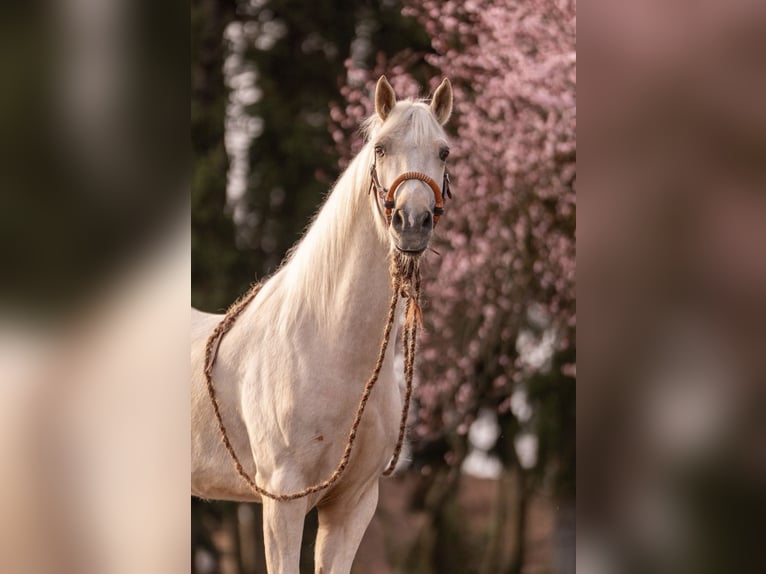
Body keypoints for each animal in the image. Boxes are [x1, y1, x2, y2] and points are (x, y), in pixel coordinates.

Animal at [191, 75, 453, 573]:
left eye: (444, 151)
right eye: (381, 148)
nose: (411, 223)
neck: (329, 350)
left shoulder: (353, 506)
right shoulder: (284, 499)